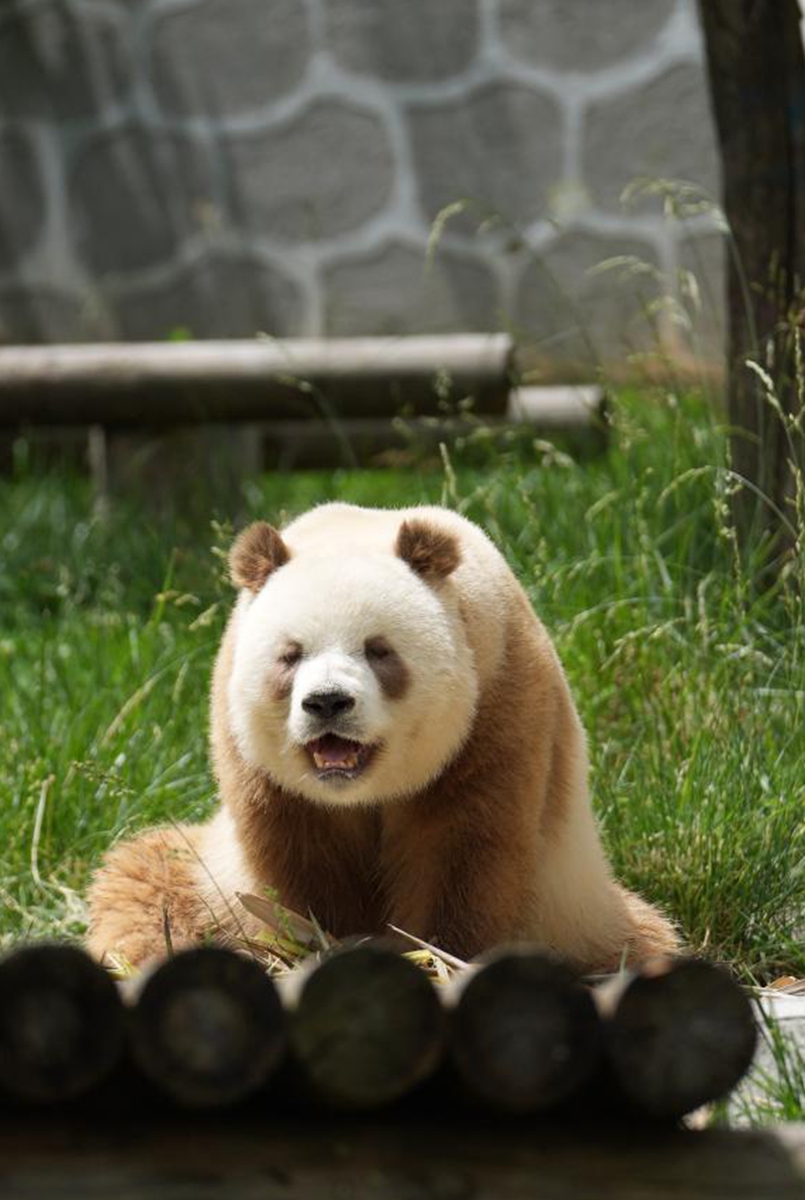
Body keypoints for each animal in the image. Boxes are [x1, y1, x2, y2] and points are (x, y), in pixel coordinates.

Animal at [86, 503, 678, 969]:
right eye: (290, 655)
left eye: (378, 650)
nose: (327, 702)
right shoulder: (262, 768)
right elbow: (300, 860)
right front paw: (321, 943)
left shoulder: (495, 708)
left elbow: (467, 848)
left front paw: (436, 956)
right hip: (201, 877)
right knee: (144, 890)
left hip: (579, 910)